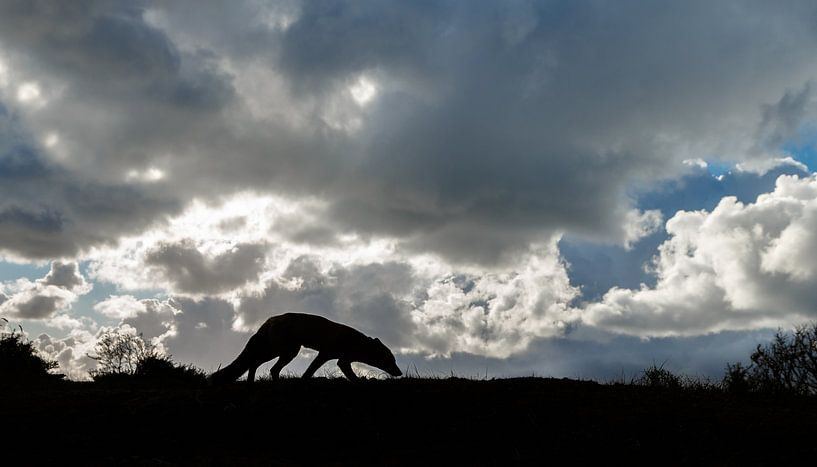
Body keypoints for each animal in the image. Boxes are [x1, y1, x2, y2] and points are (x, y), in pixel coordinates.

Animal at [210, 312, 402, 382]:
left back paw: (254, 382)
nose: (400, 373)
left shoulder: (337, 359)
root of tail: (270, 320)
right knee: (261, 365)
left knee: (260, 366)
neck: (357, 343)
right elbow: (311, 371)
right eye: (391, 360)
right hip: (283, 352)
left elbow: (309, 372)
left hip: (283, 352)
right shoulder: (330, 357)